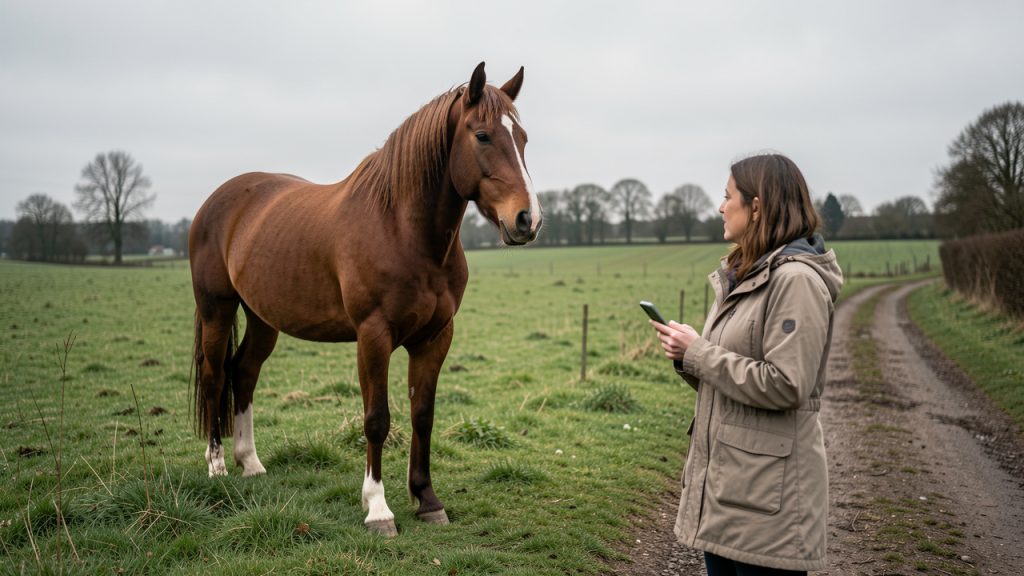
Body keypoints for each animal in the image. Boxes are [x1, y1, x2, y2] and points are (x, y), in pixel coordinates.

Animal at [188, 62, 541, 536]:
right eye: (483, 135)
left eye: (522, 138)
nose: (527, 220)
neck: (402, 229)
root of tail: (216, 202)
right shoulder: (373, 336)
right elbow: (376, 420)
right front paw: (378, 509)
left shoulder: (435, 337)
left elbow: (423, 415)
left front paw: (427, 500)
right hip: (217, 309)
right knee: (214, 377)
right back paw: (218, 466)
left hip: (263, 318)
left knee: (243, 371)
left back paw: (252, 464)